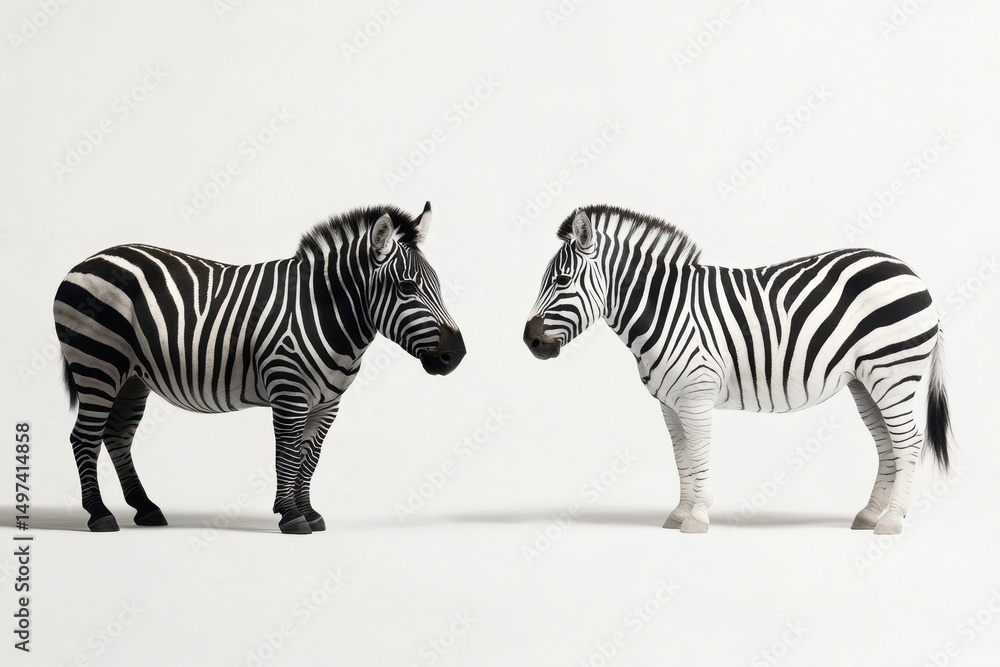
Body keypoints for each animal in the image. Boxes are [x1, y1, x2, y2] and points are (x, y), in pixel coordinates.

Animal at [55, 202, 465, 534]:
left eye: (437, 285)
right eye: (407, 288)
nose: (457, 356)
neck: (326, 313)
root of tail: (87, 261)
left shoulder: (327, 404)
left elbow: (309, 458)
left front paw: (309, 512)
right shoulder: (289, 393)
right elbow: (286, 453)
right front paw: (291, 516)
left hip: (131, 377)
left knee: (116, 436)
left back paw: (146, 509)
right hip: (97, 363)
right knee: (84, 437)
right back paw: (99, 515)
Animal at [523, 204, 950, 534]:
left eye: (562, 280)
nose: (529, 341)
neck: (666, 310)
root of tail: (909, 271)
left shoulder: (696, 395)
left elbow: (698, 454)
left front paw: (697, 517)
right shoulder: (669, 403)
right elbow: (681, 458)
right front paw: (679, 514)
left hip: (894, 372)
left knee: (909, 442)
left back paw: (892, 522)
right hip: (866, 381)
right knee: (887, 445)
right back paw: (869, 515)